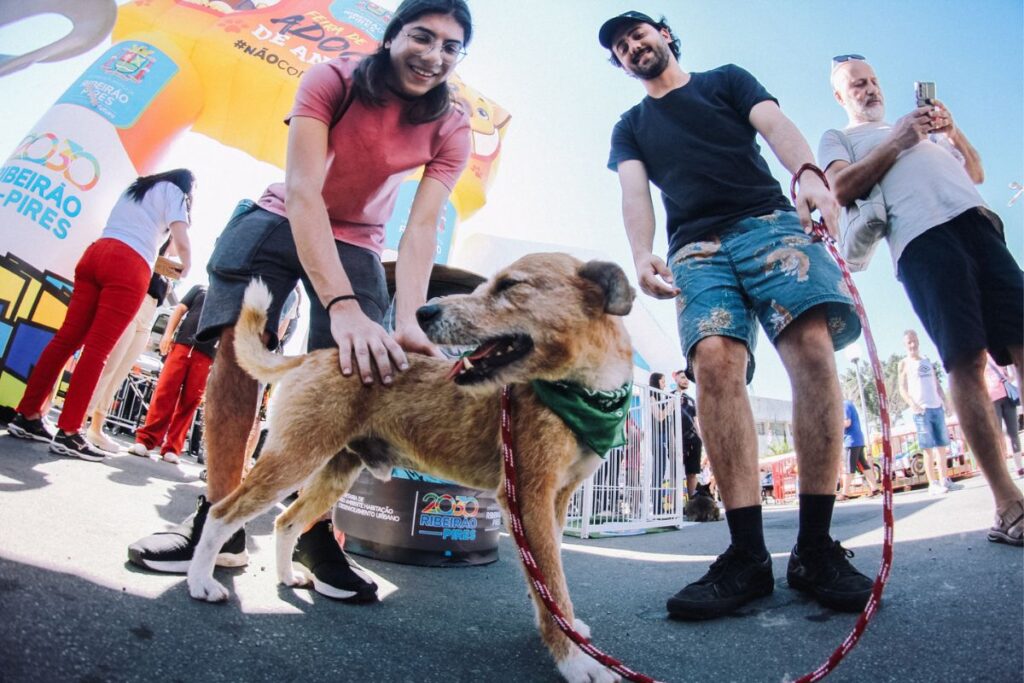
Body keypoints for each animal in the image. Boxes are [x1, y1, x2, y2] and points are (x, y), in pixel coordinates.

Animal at [184, 252, 630, 683]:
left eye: (509, 285)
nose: (424, 312)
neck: (586, 393)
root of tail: (312, 355)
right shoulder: (528, 495)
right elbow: (552, 581)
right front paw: (575, 660)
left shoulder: (557, 499)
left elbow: (546, 581)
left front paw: (563, 630)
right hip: (295, 458)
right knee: (224, 512)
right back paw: (201, 581)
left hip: (334, 472)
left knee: (286, 521)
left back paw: (286, 577)